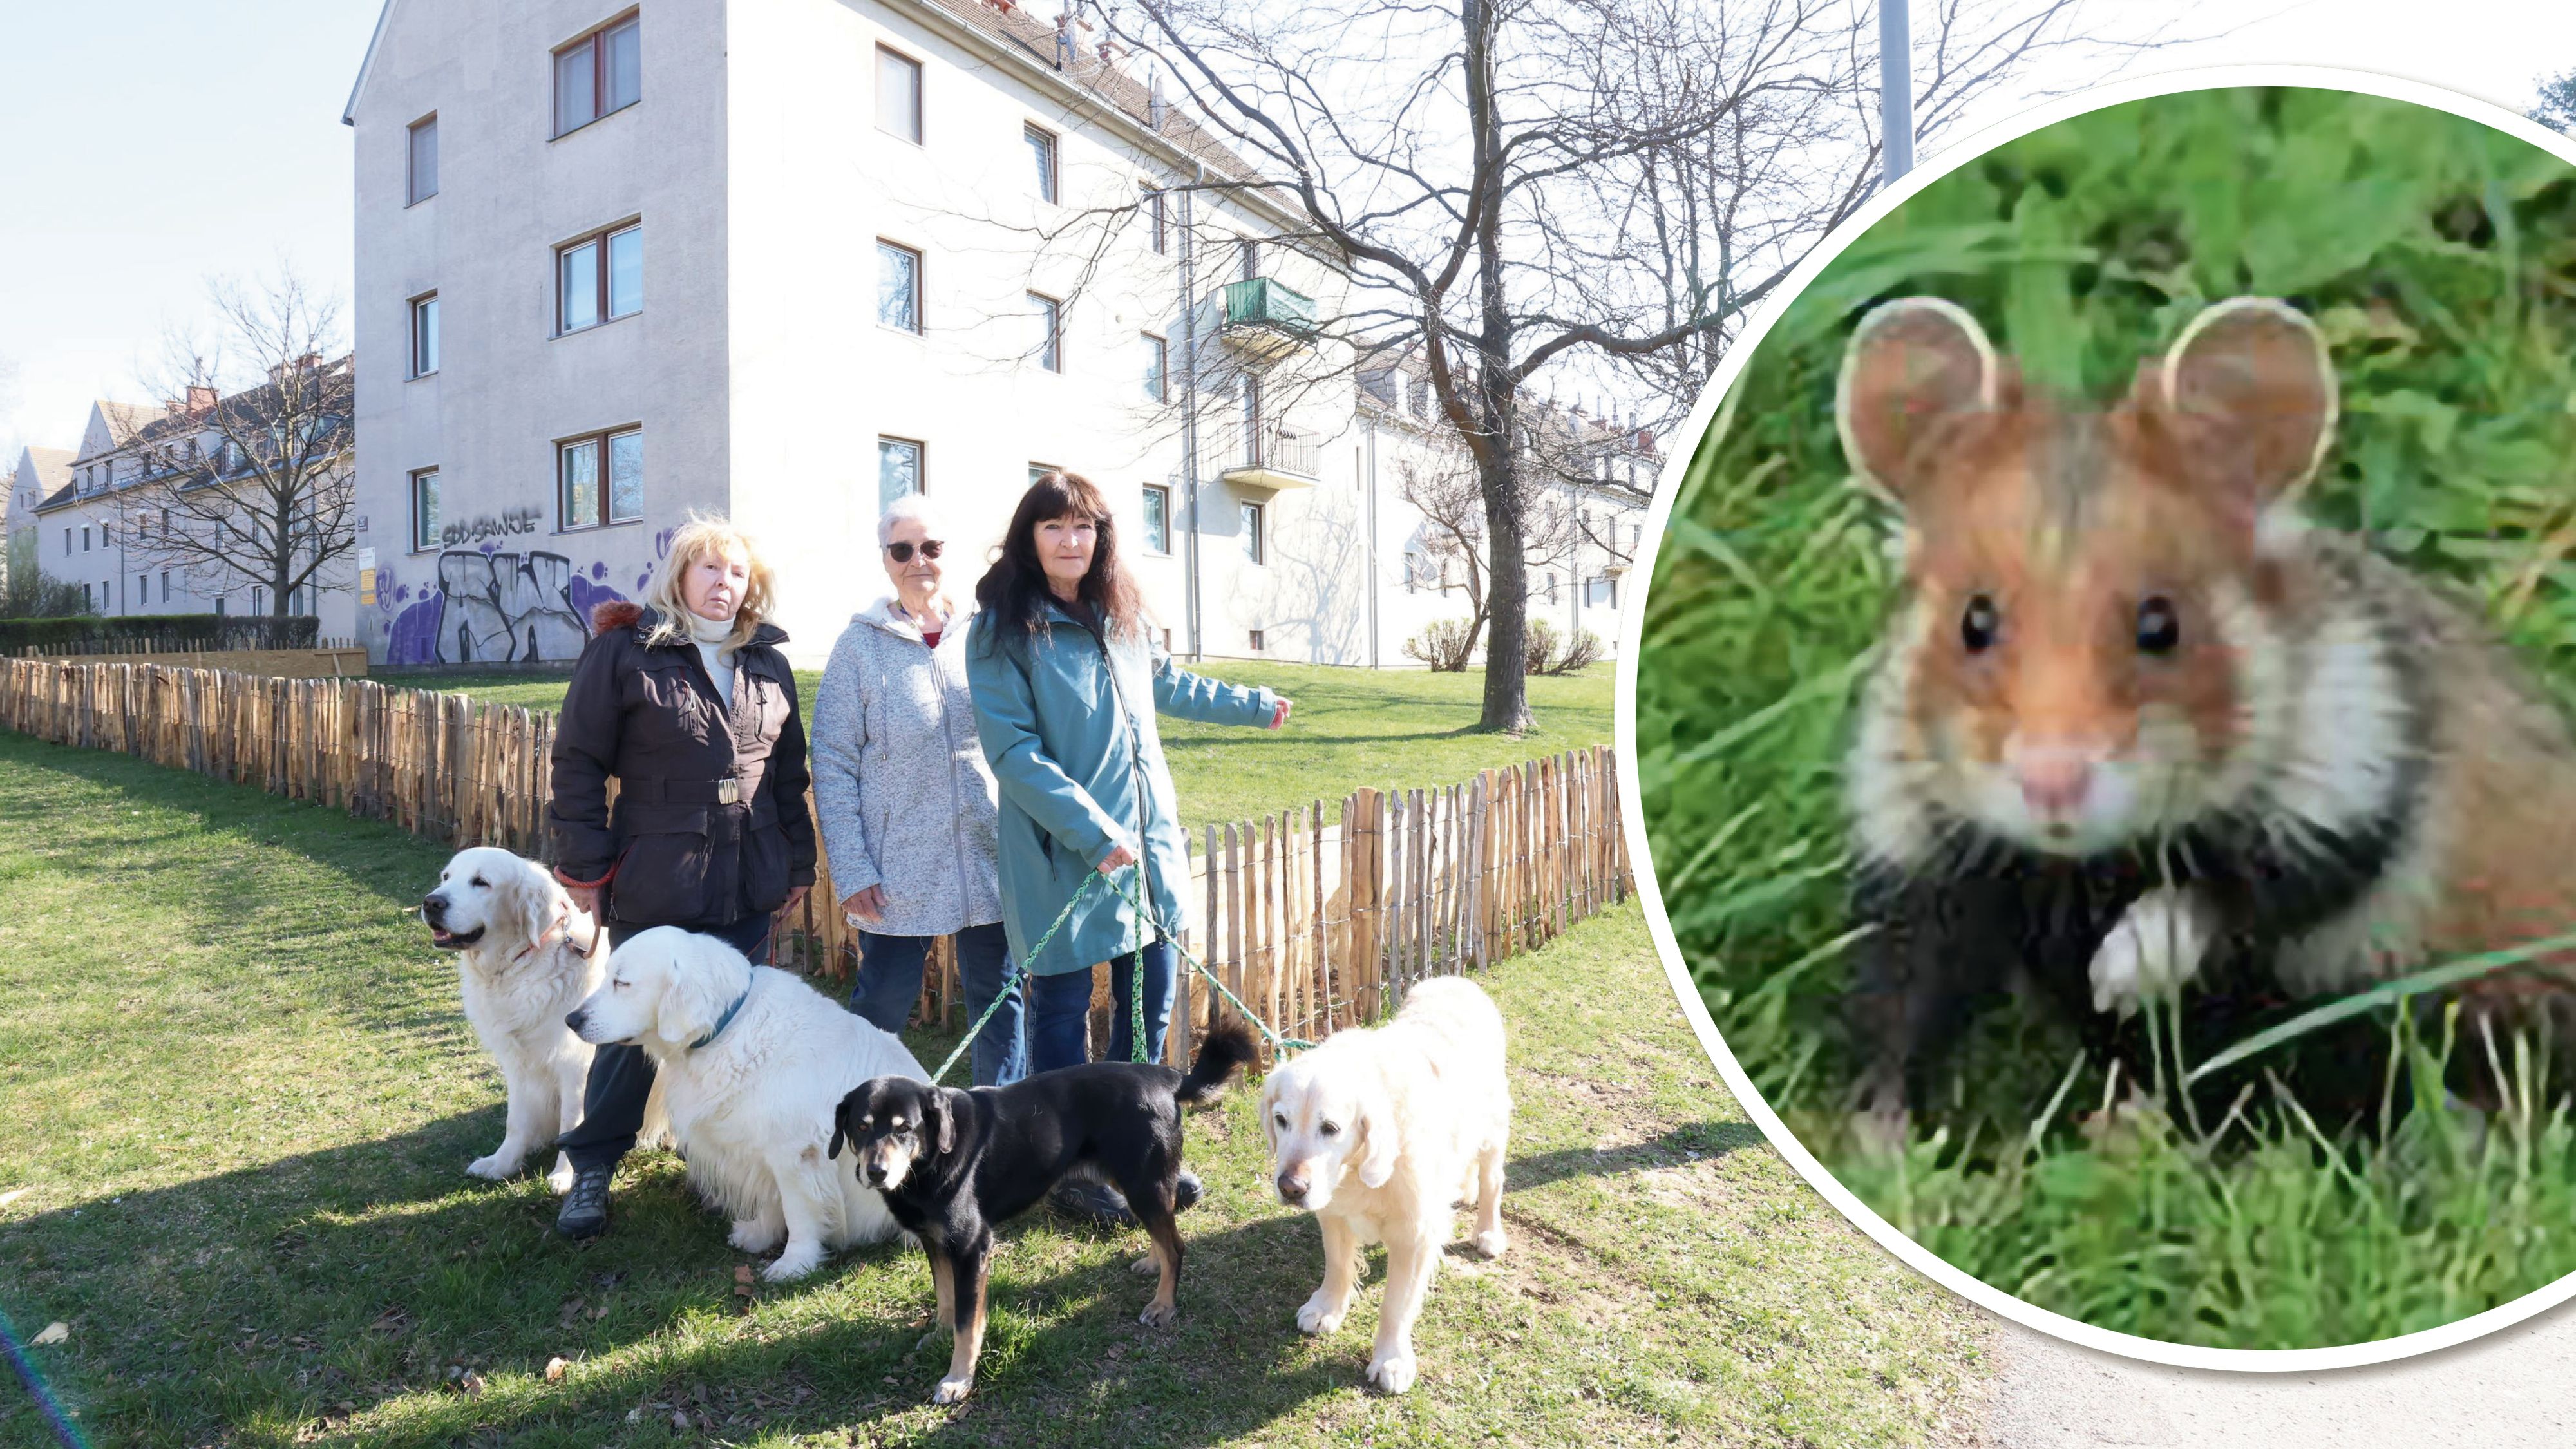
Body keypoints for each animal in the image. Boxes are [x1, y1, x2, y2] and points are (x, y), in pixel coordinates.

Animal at [1832, 295, 2576, 1135]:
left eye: (2162, 624)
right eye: (1974, 621)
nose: (2052, 788)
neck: (2081, 868)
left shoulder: (2350, 791)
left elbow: (2224, 897)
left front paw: (2119, 976)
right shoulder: (1925, 857)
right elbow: (1903, 1004)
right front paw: (1879, 1142)